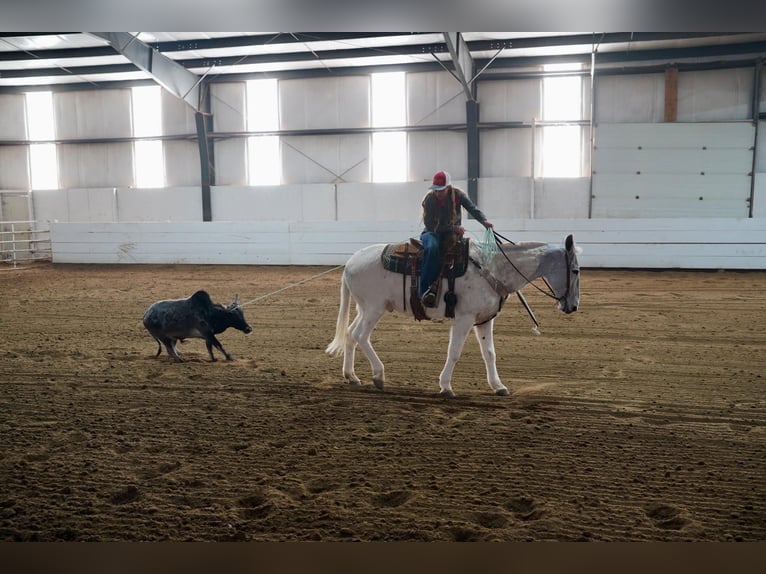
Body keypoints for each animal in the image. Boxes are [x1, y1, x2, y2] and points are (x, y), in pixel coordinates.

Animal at [326, 234, 584, 400]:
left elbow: (489, 354)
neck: (493, 269)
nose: (573, 307)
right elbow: (455, 352)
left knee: (350, 334)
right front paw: (446, 386)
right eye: (575, 270)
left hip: (364, 308)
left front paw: (498, 386)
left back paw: (351, 376)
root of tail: (350, 262)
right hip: (374, 308)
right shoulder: (464, 318)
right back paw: (378, 375)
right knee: (361, 336)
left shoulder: (485, 320)